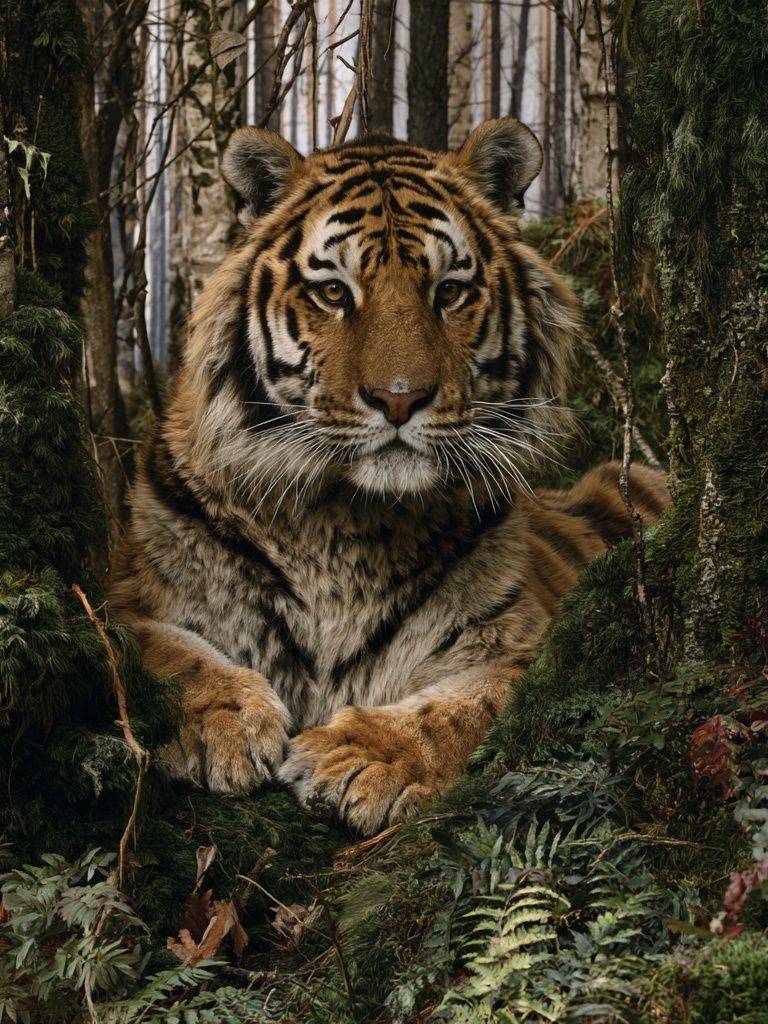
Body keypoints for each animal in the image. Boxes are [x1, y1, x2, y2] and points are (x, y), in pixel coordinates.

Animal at [107, 117, 669, 836]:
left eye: (449, 291)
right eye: (334, 292)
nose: (400, 399)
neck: (343, 526)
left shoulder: (529, 639)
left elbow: (472, 704)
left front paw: (363, 756)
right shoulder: (124, 590)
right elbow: (153, 647)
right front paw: (222, 721)